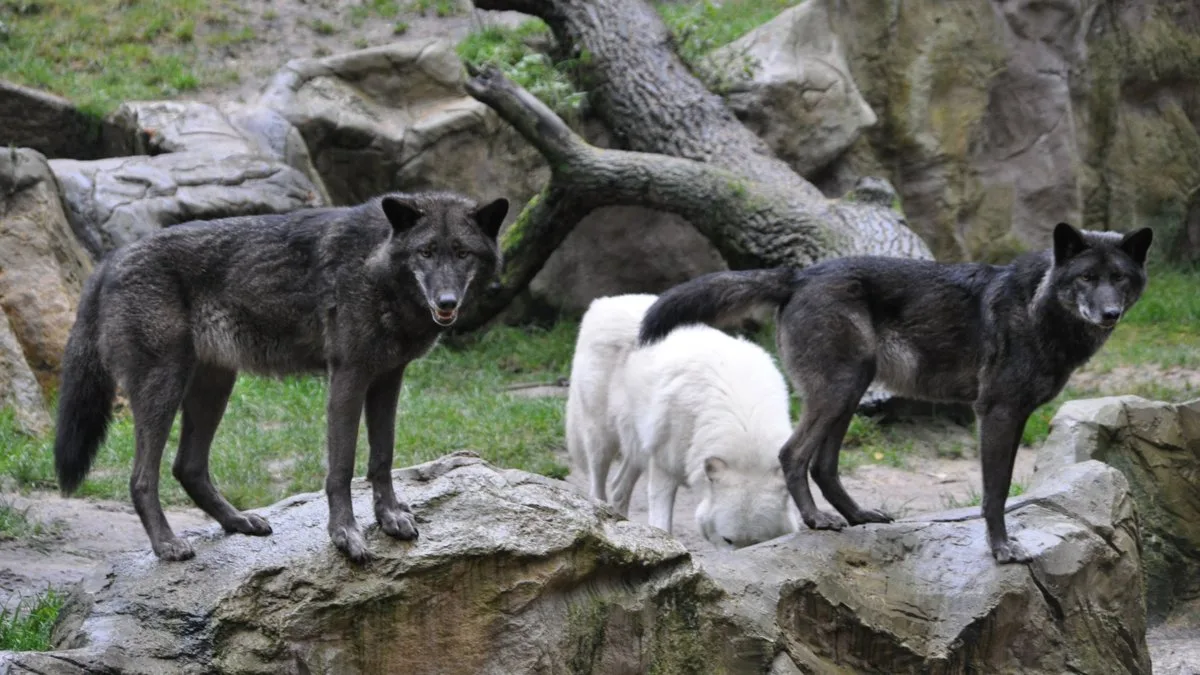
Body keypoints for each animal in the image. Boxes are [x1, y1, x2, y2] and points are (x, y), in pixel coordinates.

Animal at [53, 191, 508, 563]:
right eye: (426, 252)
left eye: (462, 253)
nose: (446, 301)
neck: (375, 265)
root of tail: (111, 259)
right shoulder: (348, 376)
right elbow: (341, 468)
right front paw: (345, 535)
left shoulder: (388, 378)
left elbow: (382, 457)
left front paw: (391, 517)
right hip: (163, 387)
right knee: (142, 478)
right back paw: (167, 545)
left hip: (213, 387)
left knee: (187, 467)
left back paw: (237, 522)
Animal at [567, 294, 800, 549]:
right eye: (728, 539)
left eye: (757, 543)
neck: (744, 423)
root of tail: (603, 302)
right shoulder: (663, 470)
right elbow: (661, 527)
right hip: (601, 441)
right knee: (597, 487)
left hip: (637, 446)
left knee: (618, 489)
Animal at [639, 223, 1153, 563]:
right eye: (1086, 278)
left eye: (1120, 279)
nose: (1109, 313)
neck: (1039, 307)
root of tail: (798, 275)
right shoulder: (997, 412)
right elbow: (996, 493)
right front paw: (1002, 549)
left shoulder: (1016, 414)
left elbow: (1002, 488)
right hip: (839, 390)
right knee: (792, 454)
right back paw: (817, 521)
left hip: (850, 390)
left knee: (823, 465)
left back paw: (857, 516)